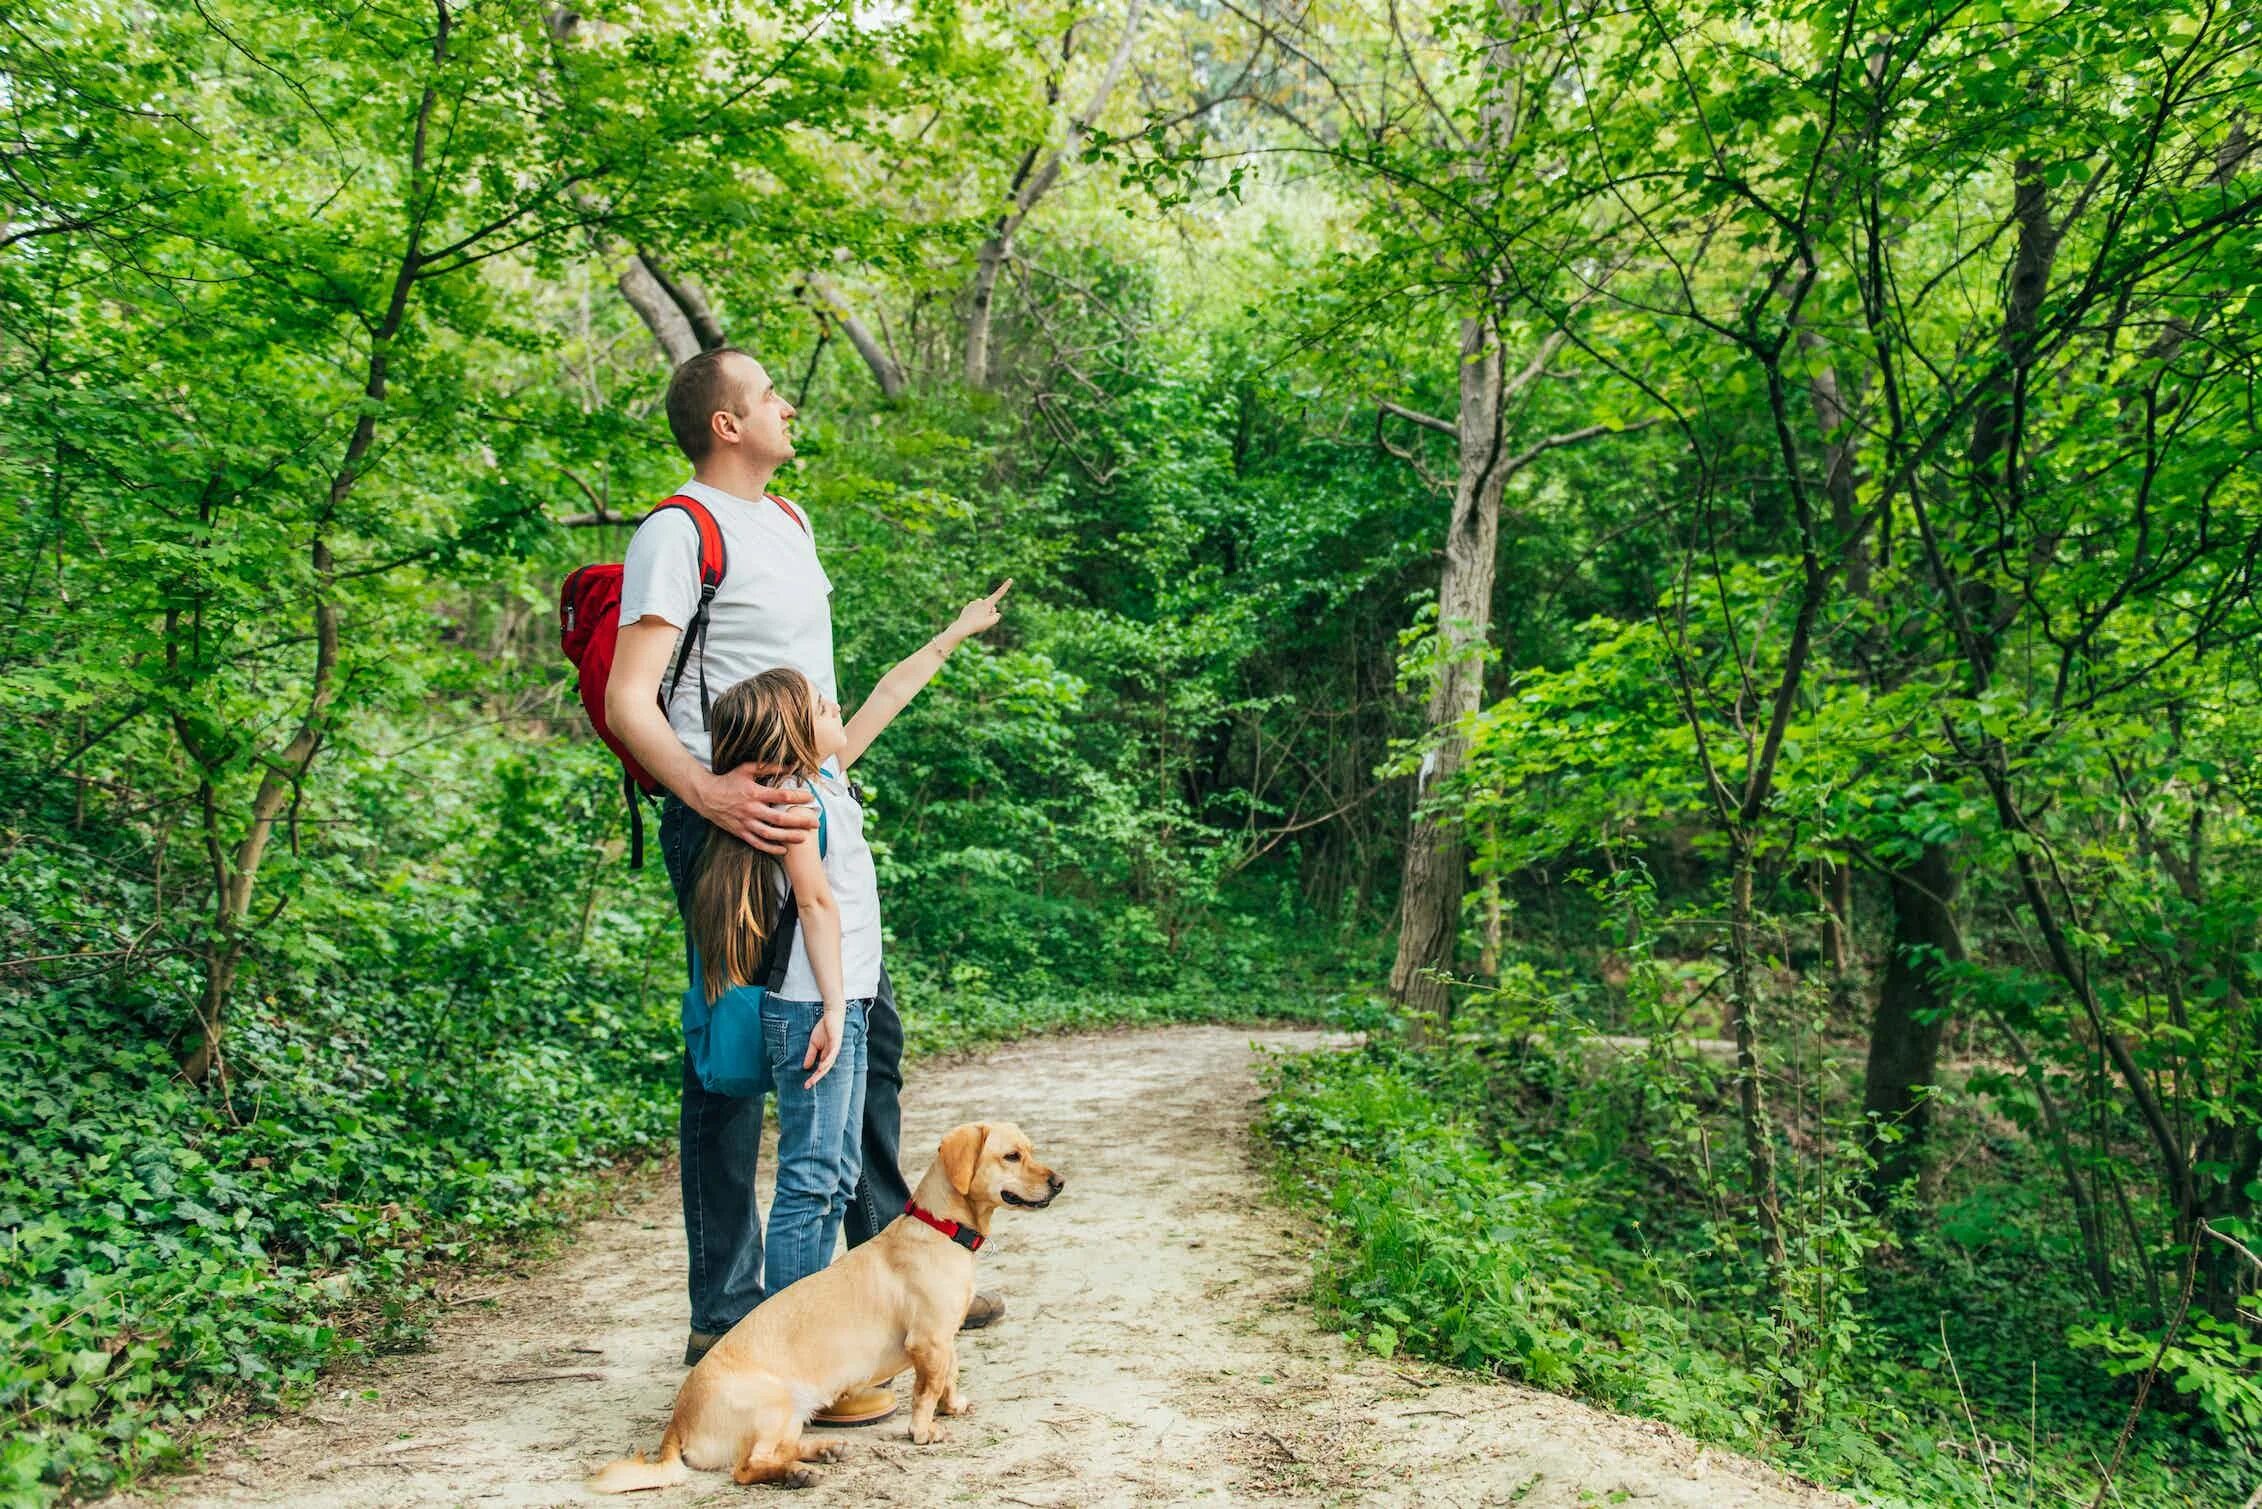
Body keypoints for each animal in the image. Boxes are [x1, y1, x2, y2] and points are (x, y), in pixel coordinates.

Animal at [597, 1122, 1063, 1484]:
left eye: (1029, 1151)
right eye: (1012, 1156)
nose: (1060, 1183)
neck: (940, 1227)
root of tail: (676, 1425)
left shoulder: (944, 1340)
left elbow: (950, 1375)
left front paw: (952, 1407)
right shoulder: (928, 1341)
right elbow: (926, 1390)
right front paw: (923, 1430)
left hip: (789, 1417)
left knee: (780, 1451)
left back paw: (822, 1451)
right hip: (773, 1406)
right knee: (748, 1468)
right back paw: (797, 1475)